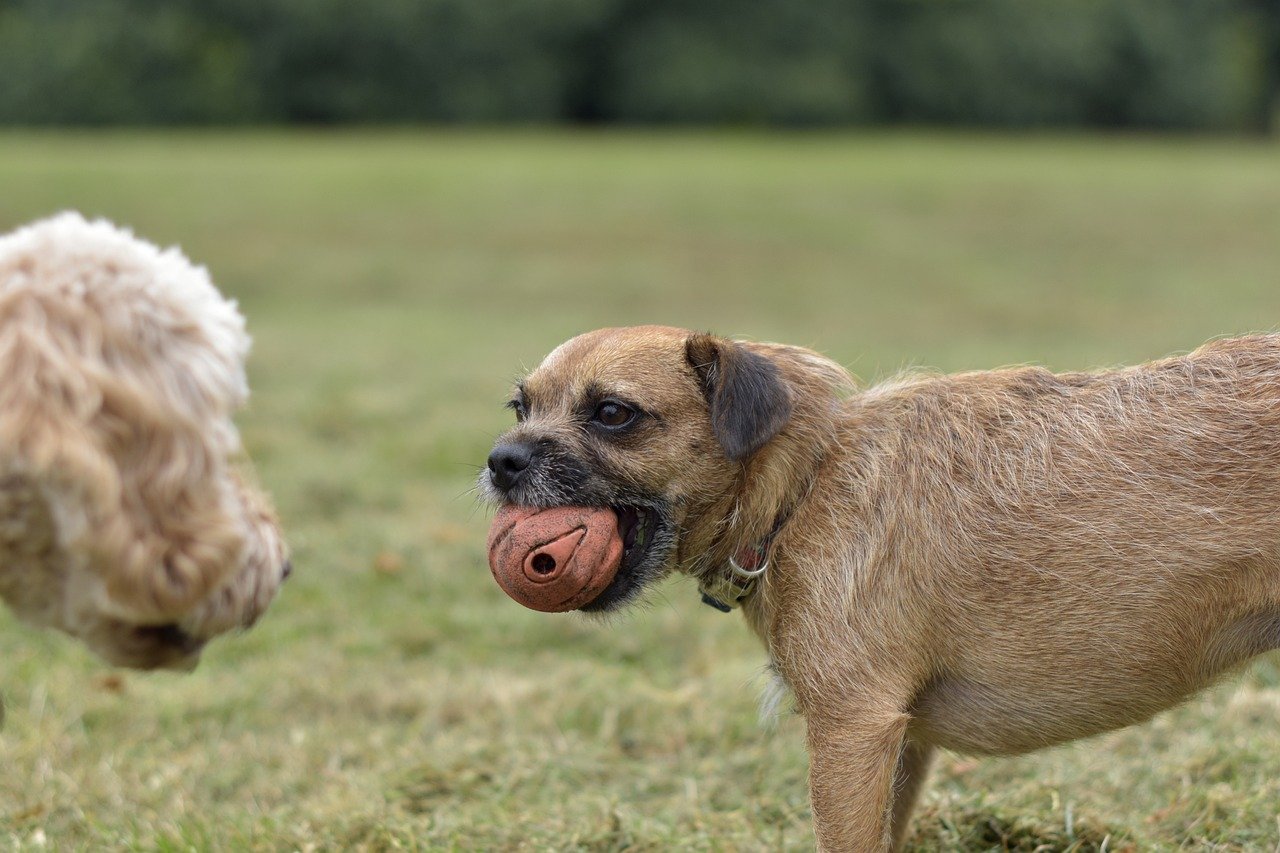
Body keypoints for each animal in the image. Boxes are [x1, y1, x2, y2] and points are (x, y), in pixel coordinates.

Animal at [481, 324, 1280, 845]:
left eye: (612, 413)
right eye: (520, 407)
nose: (499, 461)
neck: (805, 484)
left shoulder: (852, 730)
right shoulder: (900, 745)